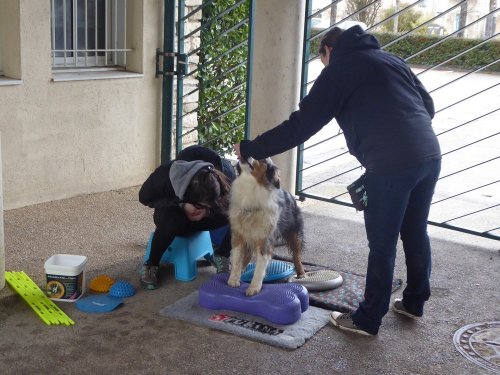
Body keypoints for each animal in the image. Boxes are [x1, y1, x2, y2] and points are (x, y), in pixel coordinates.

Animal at [227, 157, 304, 296]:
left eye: (262, 158)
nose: (243, 154)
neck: (250, 186)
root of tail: (291, 195)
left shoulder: (264, 239)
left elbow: (260, 267)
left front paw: (254, 288)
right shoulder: (238, 235)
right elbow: (236, 259)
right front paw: (233, 280)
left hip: (294, 233)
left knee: (297, 255)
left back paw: (301, 273)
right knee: (247, 255)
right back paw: (242, 270)